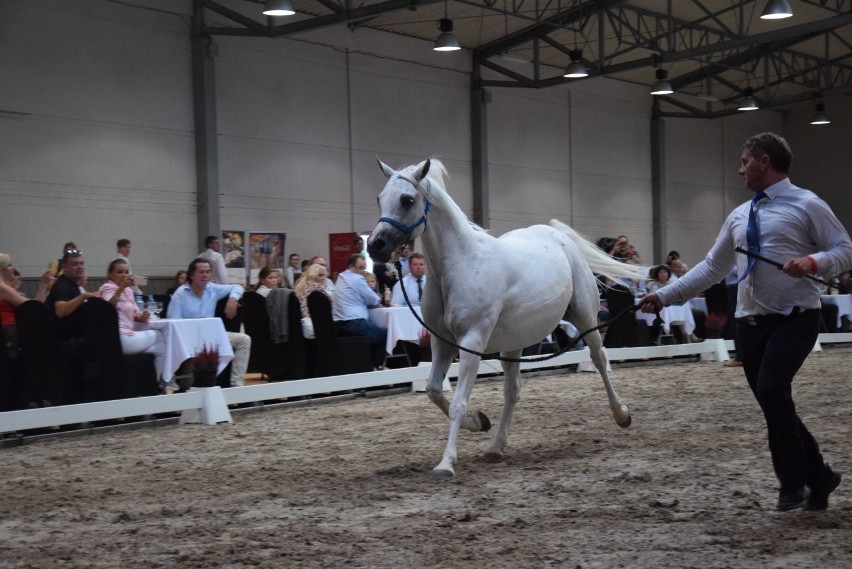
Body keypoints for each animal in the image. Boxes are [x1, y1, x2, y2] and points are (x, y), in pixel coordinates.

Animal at [366, 156, 644, 474]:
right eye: (380, 198)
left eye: (407, 199)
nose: (375, 246)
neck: (461, 264)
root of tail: (556, 234)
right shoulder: (442, 342)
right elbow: (434, 390)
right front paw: (479, 422)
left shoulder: (471, 341)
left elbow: (458, 402)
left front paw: (446, 463)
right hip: (513, 344)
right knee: (512, 392)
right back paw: (496, 447)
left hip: (586, 319)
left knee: (599, 359)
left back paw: (622, 414)